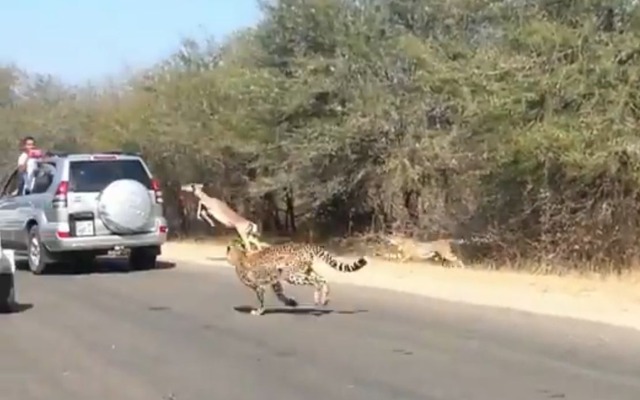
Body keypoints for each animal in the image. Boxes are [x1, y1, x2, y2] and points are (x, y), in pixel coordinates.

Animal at [226, 241, 368, 316]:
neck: (240, 256)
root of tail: (305, 245)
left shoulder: (259, 286)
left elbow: (262, 300)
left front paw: (259, 311)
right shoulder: (275, 281)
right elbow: (280, 295)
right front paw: (291, 303)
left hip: (292, 275)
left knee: (316, 282)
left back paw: (317, 299)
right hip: (305, 270)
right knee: (322, 279)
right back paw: (324, 299)